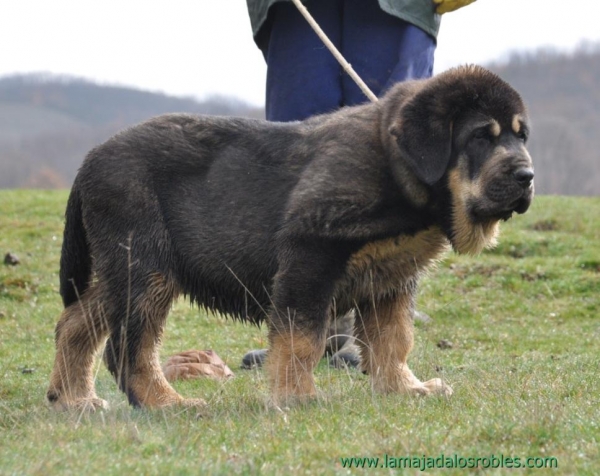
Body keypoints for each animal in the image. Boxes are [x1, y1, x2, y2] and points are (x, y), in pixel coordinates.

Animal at [48, 65, 536, 410]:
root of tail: (88, 162)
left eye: (520, 135)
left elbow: (393, 341)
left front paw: (404, 388)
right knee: (128, 348)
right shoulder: (310, 255)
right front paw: (297, 396)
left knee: (74, 323)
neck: (402, 176)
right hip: (145, 267)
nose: (527, 176)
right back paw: (166, 403)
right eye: (481, 137)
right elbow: (302, 339)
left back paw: (73, 399)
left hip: (127, 268)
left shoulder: (391, 278)